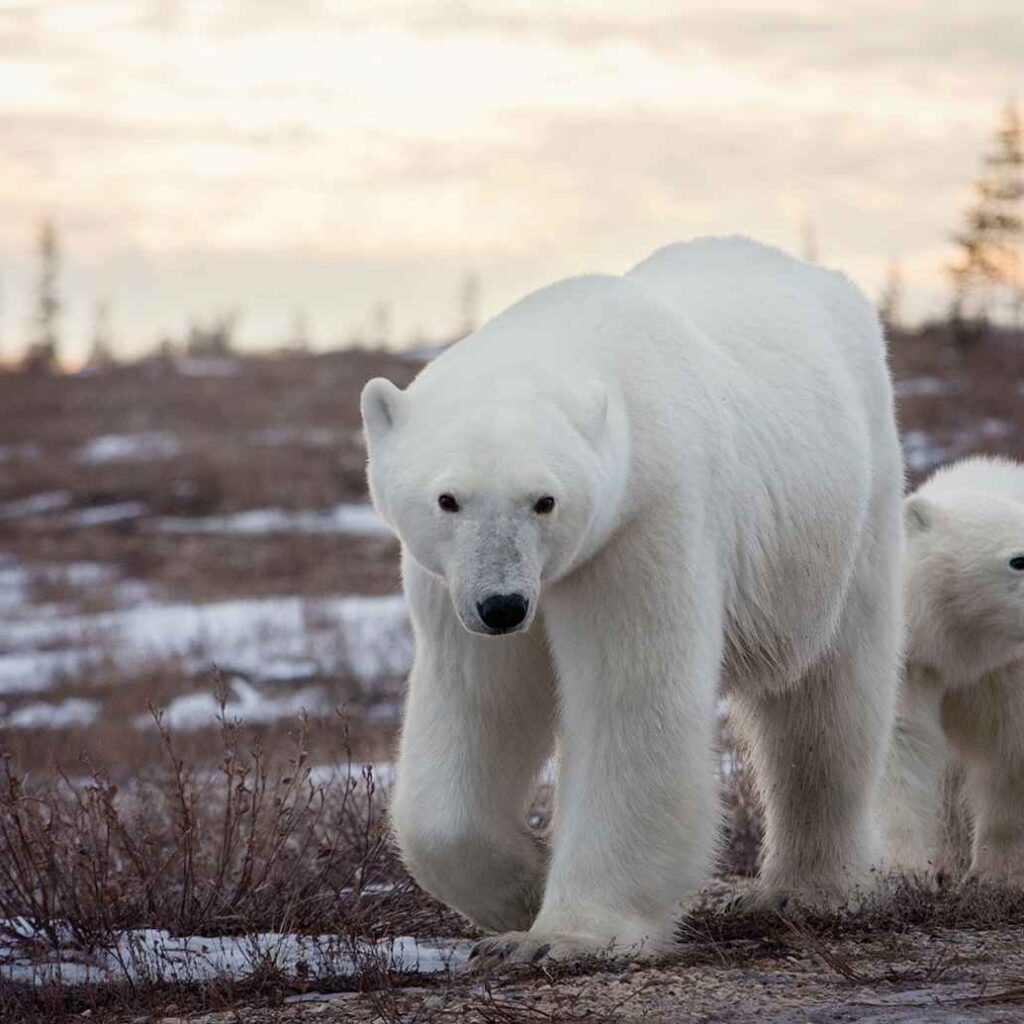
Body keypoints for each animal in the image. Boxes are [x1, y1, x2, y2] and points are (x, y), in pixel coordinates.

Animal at [360, 235, 905, 962]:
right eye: (448, 498)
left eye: (545, 499)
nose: (502, 605)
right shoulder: (448, 583)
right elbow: (479, 701)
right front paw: (522, 890)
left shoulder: (642, 520)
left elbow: (629, 697)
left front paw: (561, 936)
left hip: (845, 520)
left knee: (827, 702)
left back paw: (807, 890)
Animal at [880, 456, 1024, 880]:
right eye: (1018, 560)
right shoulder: (910, 658)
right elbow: (902, 742)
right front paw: (903, 870)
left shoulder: (1007, 670)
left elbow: (1010, 752)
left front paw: (997, 872)